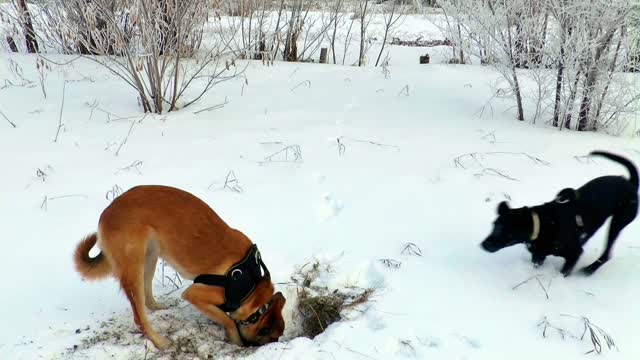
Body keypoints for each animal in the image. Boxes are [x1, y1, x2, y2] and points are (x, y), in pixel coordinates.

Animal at [72, 186, 284, 348]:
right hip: (134, 266)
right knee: (140, 317)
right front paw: (235, 339)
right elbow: (228, 320)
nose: (252, 347)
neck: (251, 286)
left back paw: (158, 307)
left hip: (151, 255)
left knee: (146, 297)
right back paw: (160, 342)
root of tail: (107, 212)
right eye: (271, 337)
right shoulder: (195, 294)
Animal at [482, 150, 636, 278]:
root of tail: (630, 182)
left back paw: (589, 270)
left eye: (504, 229)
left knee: (607, 253)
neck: (542, 224)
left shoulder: (574, 254)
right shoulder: (538, 256)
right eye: (494, 225)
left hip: (618, 222)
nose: (483, 244)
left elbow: (563, 272)